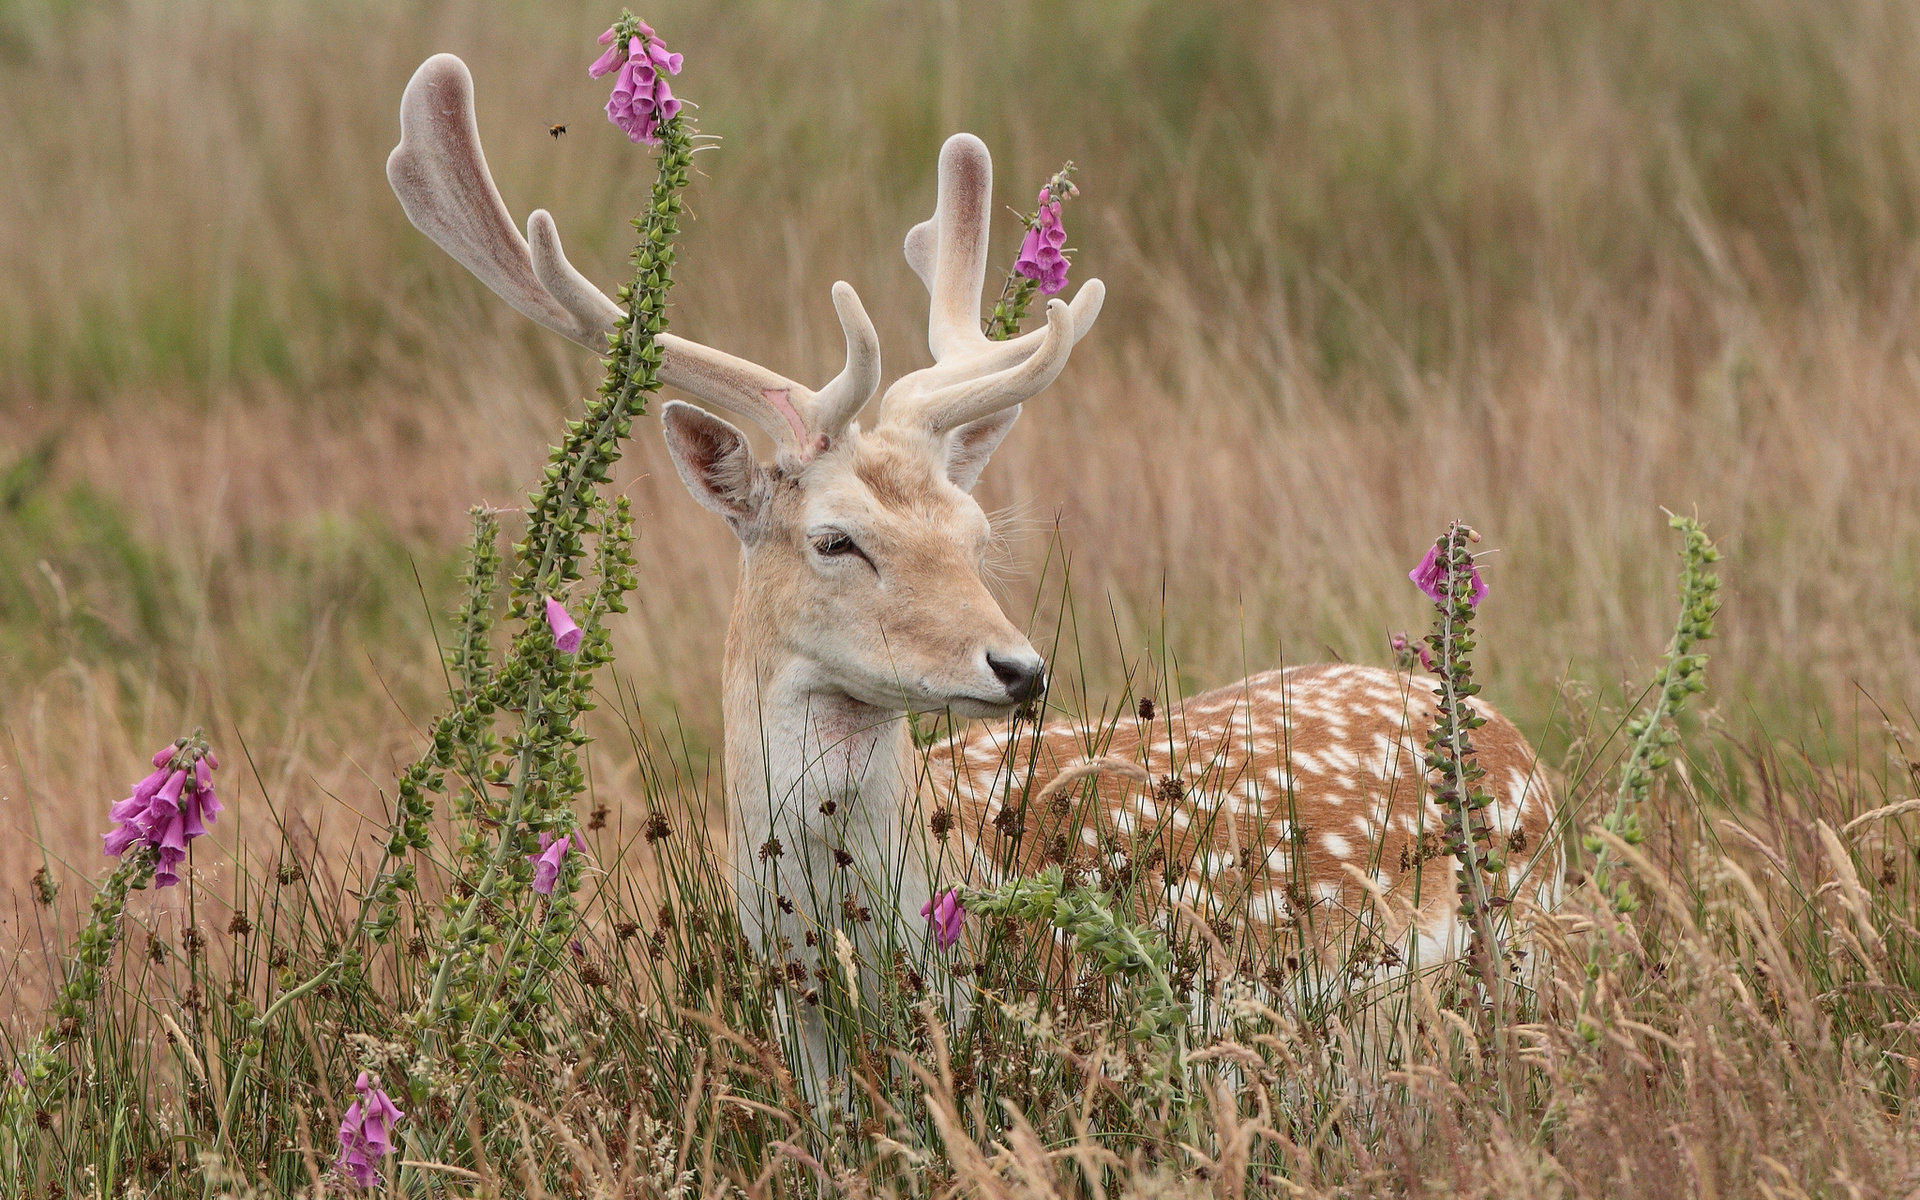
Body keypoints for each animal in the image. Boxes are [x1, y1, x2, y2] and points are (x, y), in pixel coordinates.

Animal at [385, 58, 1559, 1059]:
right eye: (835, 538)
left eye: (974, 533)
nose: (1020, 668)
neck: (857, 940)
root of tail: (1501, 732)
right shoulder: (793, 1018)